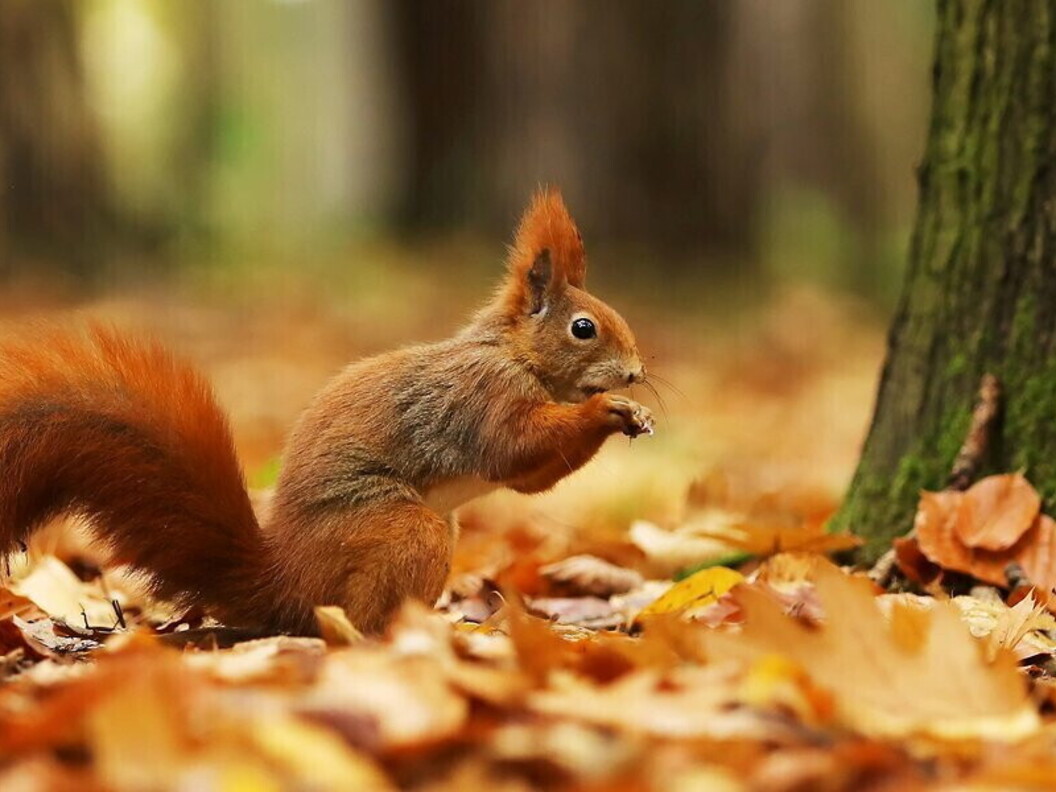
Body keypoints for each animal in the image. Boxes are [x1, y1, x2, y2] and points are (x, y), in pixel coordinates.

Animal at [0, 189, 653, 635]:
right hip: (400, 530)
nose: (635, 373)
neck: (513, 353)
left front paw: (633, 415)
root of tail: (283, 583)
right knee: (352, 614)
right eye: (584, 328)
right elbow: (514, 447)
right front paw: (608, 409)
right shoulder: (482, 395)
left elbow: (528, 477)